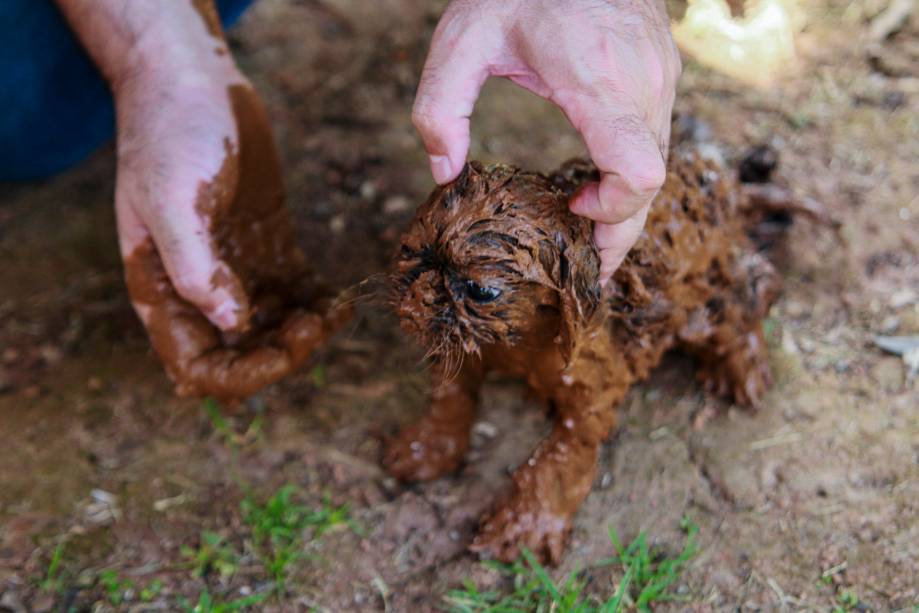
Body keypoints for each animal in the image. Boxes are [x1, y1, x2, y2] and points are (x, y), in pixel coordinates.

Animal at [384, 151, 800, 560]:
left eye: (480, 290)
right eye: (409, 250)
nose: (419, 294)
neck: (520, 344)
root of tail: (727, 187)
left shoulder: (591, 390)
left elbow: (557, 460)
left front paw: (524, 527)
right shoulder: (466, 352)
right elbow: (449, 396)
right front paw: (426, 449)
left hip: (705, 302)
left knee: (750, 297)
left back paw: (740, 370)